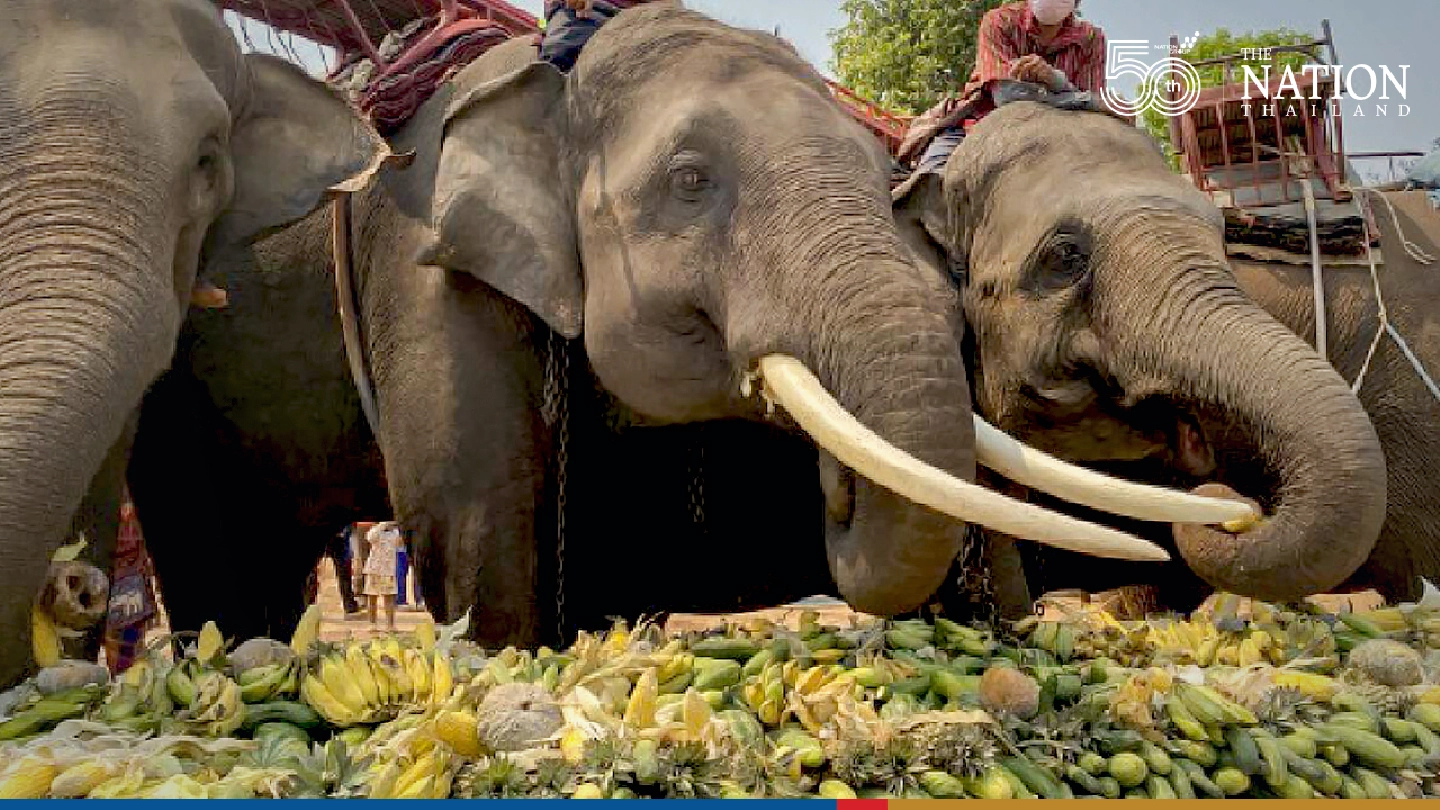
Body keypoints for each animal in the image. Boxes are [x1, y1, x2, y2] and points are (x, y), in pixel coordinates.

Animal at [129, 4, 1229, 652]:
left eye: (885, 182)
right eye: (691, 182)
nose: (830, 492)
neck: (553, 82)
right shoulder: (424, 260)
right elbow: (474, 536)